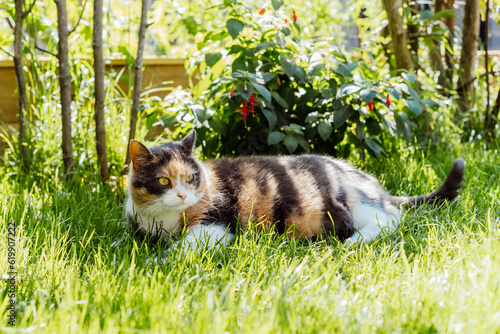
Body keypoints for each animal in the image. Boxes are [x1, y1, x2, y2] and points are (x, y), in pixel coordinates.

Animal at [125, 130, 464, 250]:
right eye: (164, 182)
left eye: (191, 177)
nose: (183, 195)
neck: (162, 219)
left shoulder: (216, 225)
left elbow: (183, 248)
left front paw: (159, 262)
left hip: (350, 200)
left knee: (391, 219)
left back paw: (352, 241)